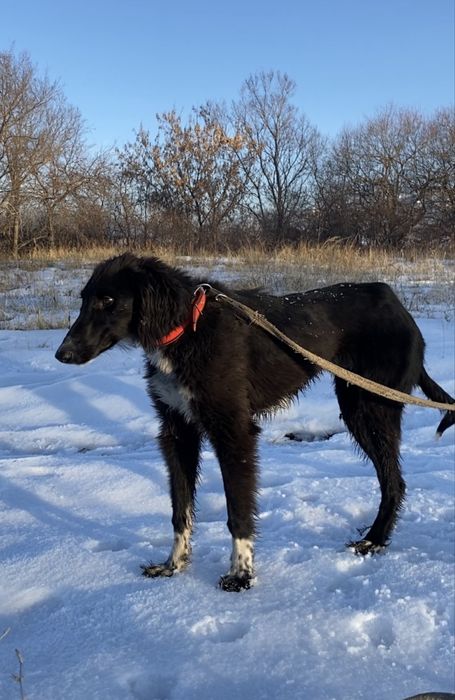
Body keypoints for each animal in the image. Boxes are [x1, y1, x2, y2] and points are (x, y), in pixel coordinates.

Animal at [55, 253, 454, 591]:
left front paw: (241, 573)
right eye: (84, 299)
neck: (188, 327)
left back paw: (375, 539)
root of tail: (397, 304)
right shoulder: (177, 432)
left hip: (367, 408)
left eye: (108, 300)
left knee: (394, 481)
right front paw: (174, 566)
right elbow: (180, 509)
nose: (62, 354)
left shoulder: (234, 431)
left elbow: (237, 510)